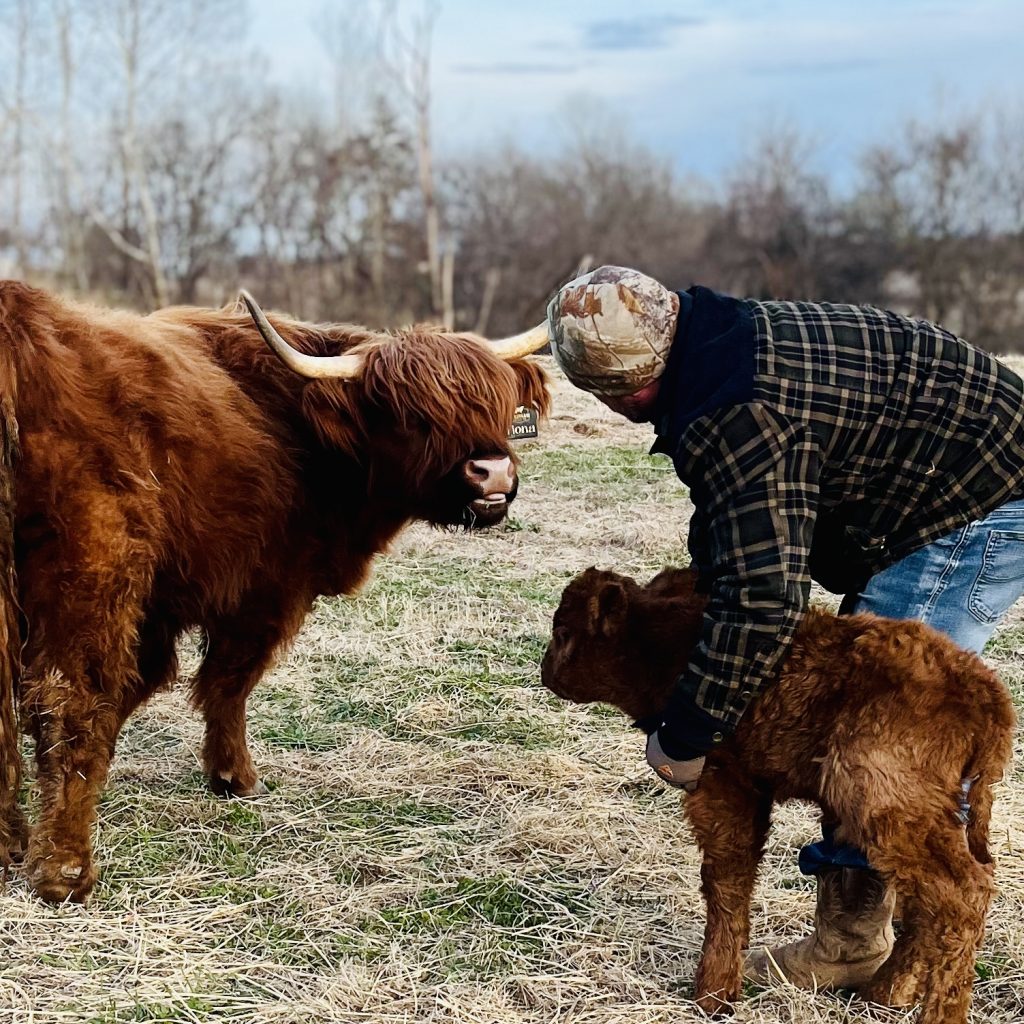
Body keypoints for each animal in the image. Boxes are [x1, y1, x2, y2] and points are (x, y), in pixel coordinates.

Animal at [0, 281, 551, 903]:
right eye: (415, 416)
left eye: (498, 405)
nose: (493, 473)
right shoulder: (265, 587)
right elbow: (226, 683)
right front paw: (234, 776)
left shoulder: (163, 603)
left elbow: (143, 684)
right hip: (90, 572)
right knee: (67, 696)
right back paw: (65, 870)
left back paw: (9, 845)